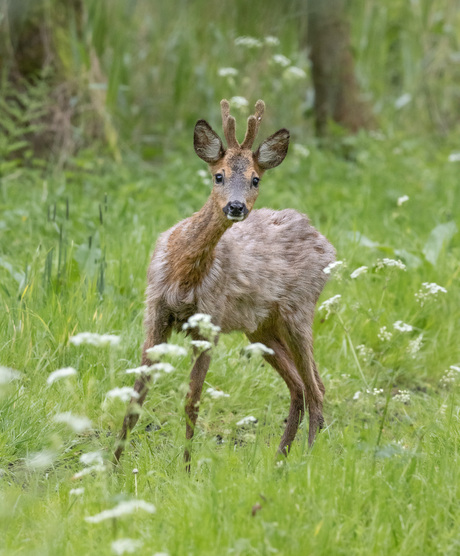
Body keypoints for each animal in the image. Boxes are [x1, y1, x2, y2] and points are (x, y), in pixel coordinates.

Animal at [113, 99, 336, 464]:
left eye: (255, 179)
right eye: (219, 175)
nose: (236, 206)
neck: (183, 275)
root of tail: (326, 245)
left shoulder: (210, 319)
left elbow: (192, 401)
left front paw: (186, 469)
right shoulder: (155, 312)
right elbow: (136, 397)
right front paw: (111, 466)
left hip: (299, 310)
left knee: (316, 387)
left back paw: (306, 461)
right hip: (261, 327)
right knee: (300, 386)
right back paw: (280, 460)